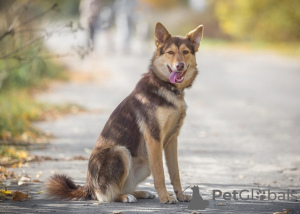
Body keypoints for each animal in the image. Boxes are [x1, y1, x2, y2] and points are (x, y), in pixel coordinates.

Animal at [45, 21, 203, 204]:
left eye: (185, 52)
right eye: (170, 52)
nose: (180, 66)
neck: (167, 88)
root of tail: (88, 186)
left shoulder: (172, 140)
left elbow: (175, 172)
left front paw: (180, 195)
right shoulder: (154, 138)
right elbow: (160, 174)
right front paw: (165, 197)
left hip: (145, 161)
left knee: (122, 186)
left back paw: (139, 193)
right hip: (121, 152)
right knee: (105, 195)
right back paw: (125, 196)